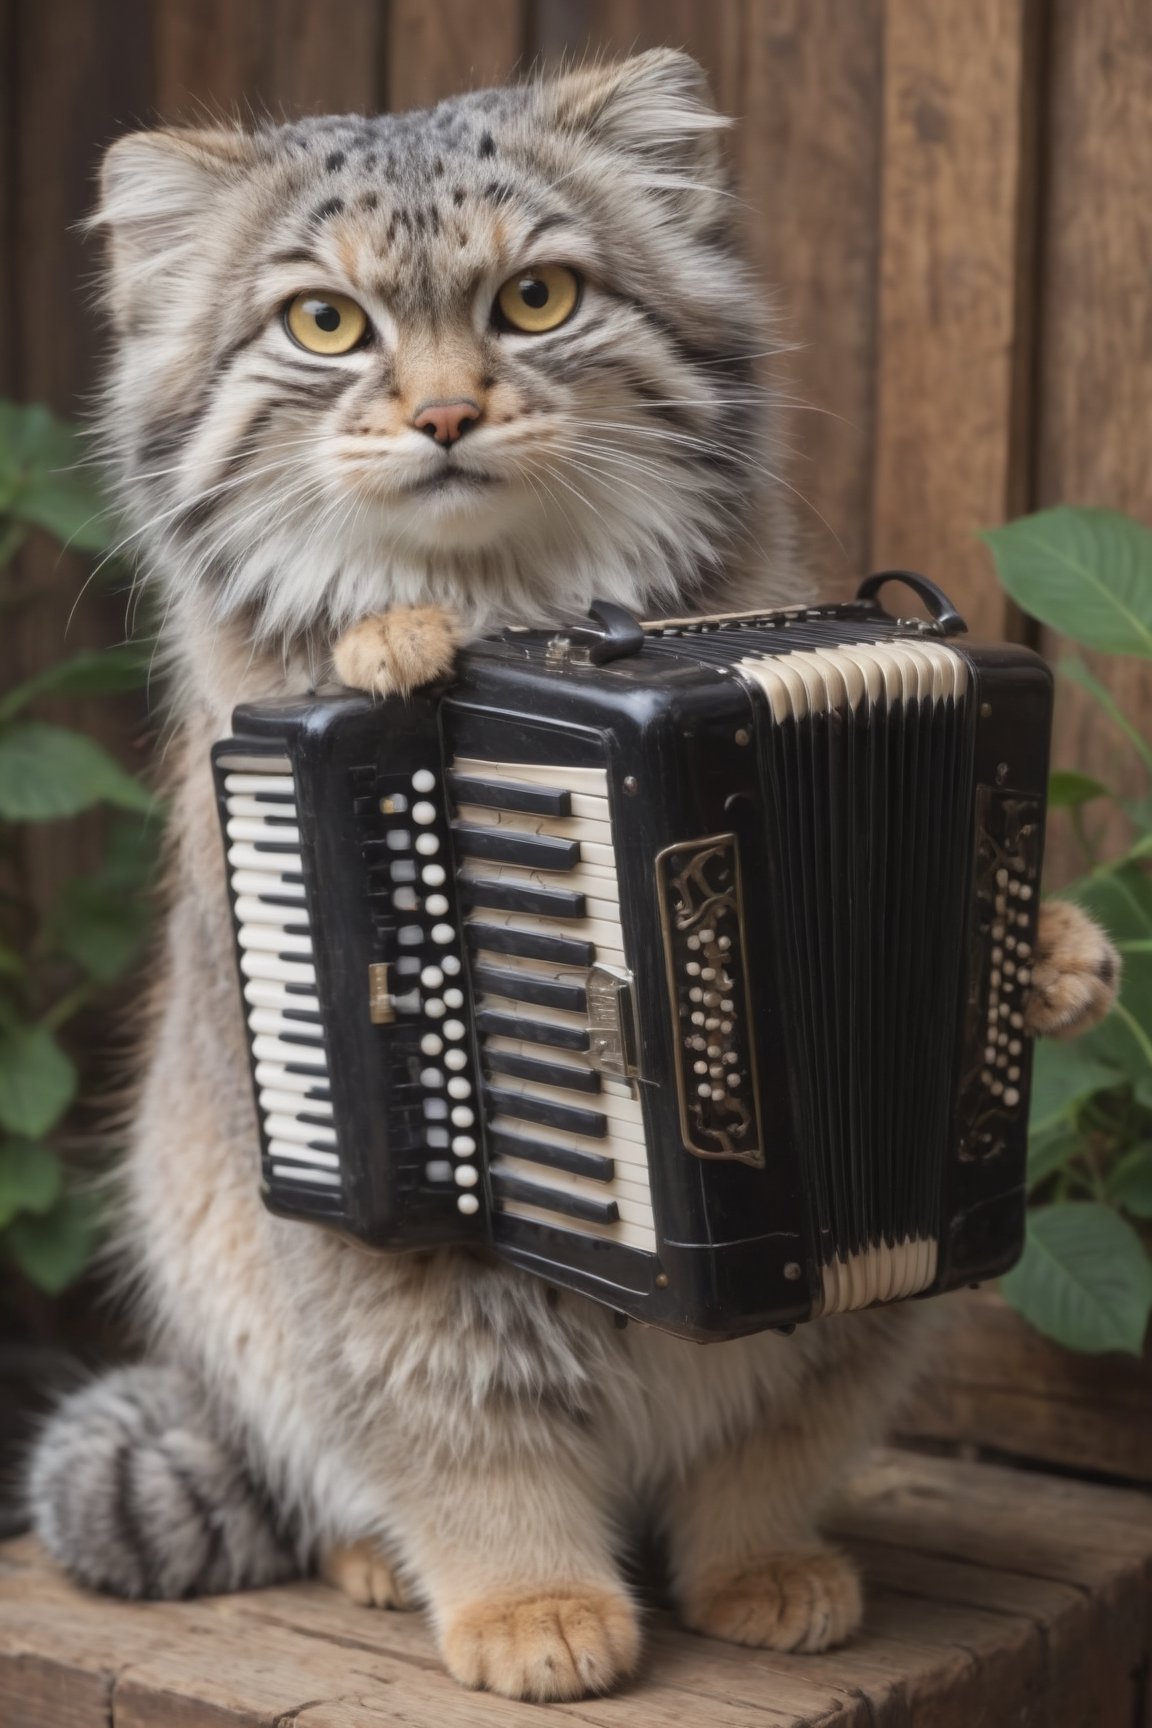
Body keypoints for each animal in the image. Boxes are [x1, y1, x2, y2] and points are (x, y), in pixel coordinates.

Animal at [29, 50, 1119, 1700]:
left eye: (535, 301)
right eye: (325, 323)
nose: (445, 413)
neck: (530, 614)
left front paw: (1051, 958)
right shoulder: (357, 1187)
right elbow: (454, 1420)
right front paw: (526, 1604)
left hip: (884, 1300)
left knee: (756, 1453)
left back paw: (759, 1566)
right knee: (387, 1443)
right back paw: (430, 1575)